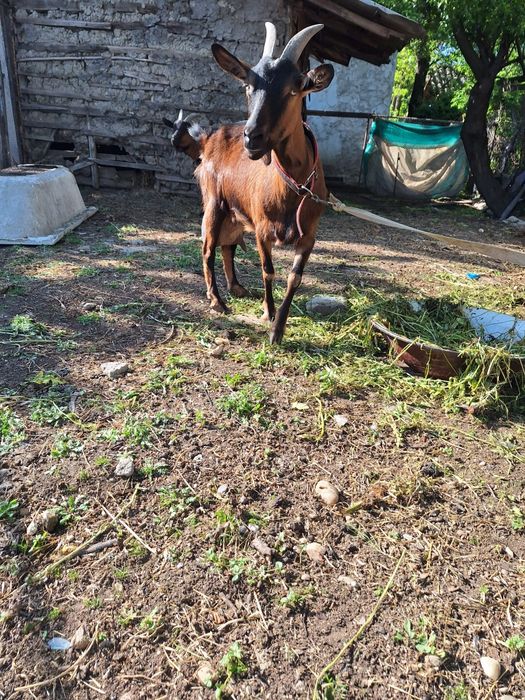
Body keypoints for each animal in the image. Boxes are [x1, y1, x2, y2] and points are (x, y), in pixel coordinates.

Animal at [197, 22, 334, 343]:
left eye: (294, 88)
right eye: (248, 86)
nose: (252, 138)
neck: (295, 188)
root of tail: (209, 137)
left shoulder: (310, 234)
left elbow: (295, 277)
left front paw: (278, 329)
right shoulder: (261, 227)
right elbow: (267, 270)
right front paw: (268, 313)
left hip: (235, 213)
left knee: (228, 246)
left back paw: (236, 287)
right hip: (214, 203)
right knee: (208, 248)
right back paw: (217, 301)